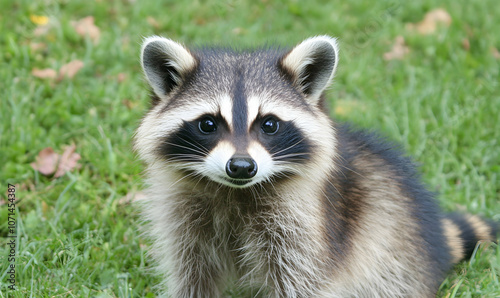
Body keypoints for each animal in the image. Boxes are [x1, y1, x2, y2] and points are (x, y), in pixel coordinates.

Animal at [135, 36, 498, 296]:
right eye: (208, 124)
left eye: (269, 124)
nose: (241, 166)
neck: (234, 191)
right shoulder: (184, 221)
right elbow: (192, 275)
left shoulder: (307, 227)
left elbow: (302, 280)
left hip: (394, 250)